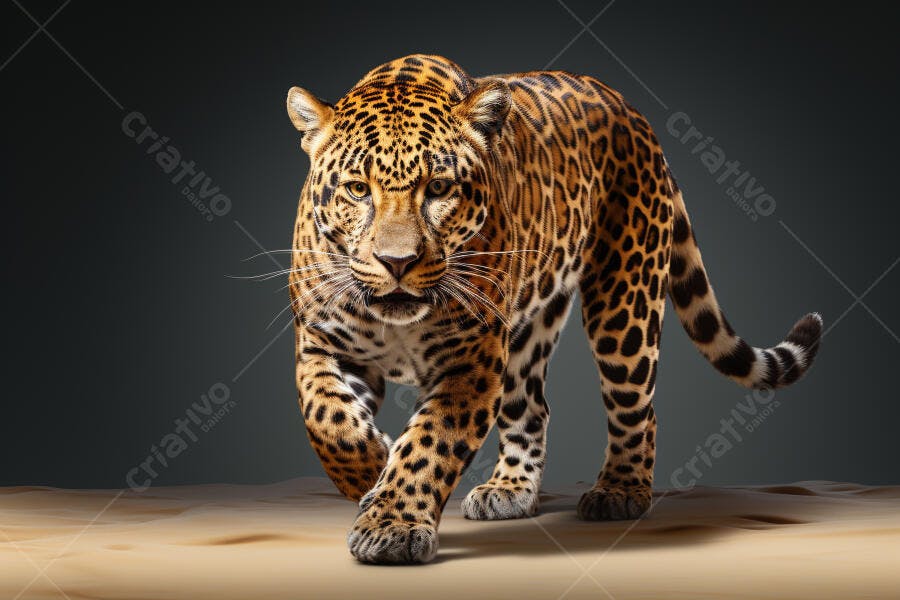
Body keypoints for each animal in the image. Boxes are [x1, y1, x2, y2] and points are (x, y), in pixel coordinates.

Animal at [283, 54, 822, 564]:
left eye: (437, 189)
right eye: (358, 189)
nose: (397, 262)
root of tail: (632, 112)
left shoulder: (471, 360)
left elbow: (427, 446)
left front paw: (390, 524)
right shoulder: (321, 343)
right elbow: (325, 419)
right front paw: (370, 470)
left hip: (623, 305)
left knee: (636, 405)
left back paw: (619, 491)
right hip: (528, 330)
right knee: (532, 407)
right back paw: (509, 491)